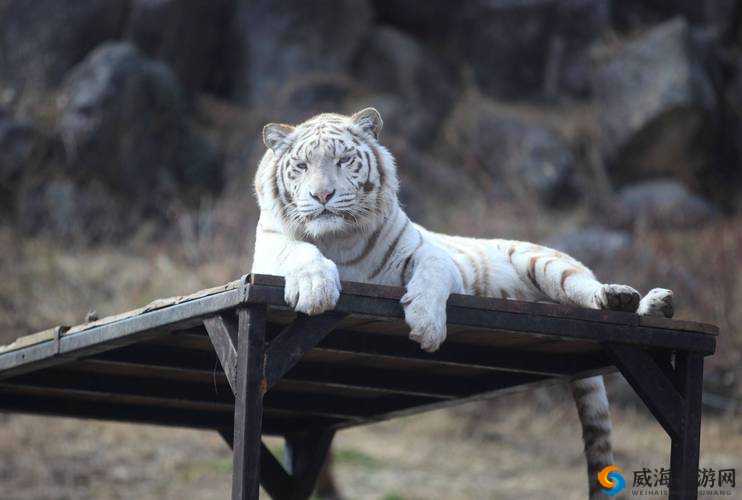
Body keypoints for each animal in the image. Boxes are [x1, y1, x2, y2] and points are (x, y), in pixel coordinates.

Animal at [250, 107, 674, 499]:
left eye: (342, 160)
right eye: (302, 166)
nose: (321, 196)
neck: (340, 238)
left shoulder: (430, 254)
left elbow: (432, 276)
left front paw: (426, 325)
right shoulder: (270, 252)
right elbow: (300, 251)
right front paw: (316, 289)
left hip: (547, 263)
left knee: (586, 289)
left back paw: (634, 300)